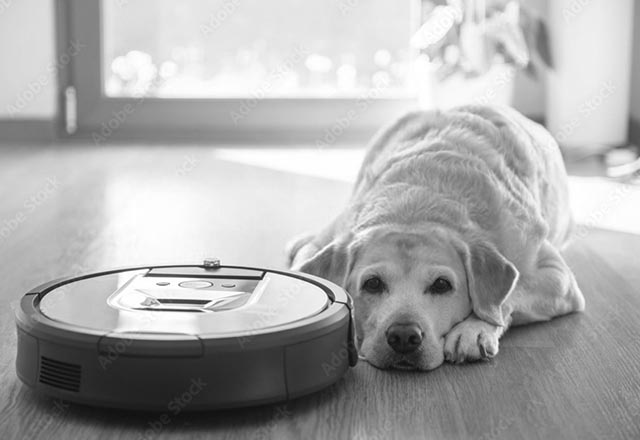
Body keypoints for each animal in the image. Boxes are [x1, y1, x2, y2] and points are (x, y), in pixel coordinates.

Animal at [288, 105, 588, 370]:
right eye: (372, 284)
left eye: (442, 285)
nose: (404, 336)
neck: (417, 205)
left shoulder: (559, 278)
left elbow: (509, 295)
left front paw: (473, 329)